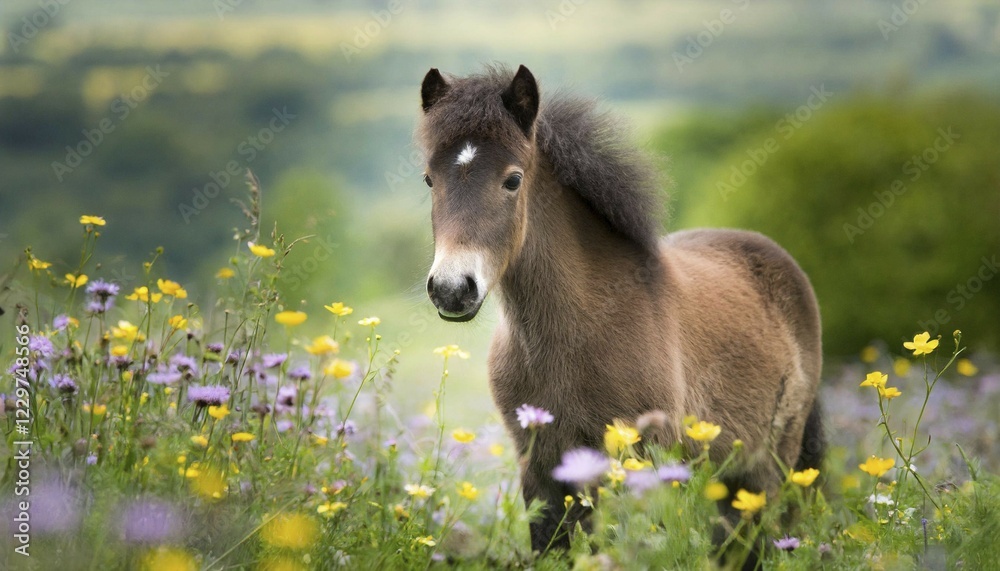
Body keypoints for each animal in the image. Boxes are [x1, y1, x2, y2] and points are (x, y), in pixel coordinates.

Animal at [417, 64, 824, 558]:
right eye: (429, 179)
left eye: (512, 180)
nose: (452, 289)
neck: (575, 329)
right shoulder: (540, 467)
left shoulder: (646, 457)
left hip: (771, 463)